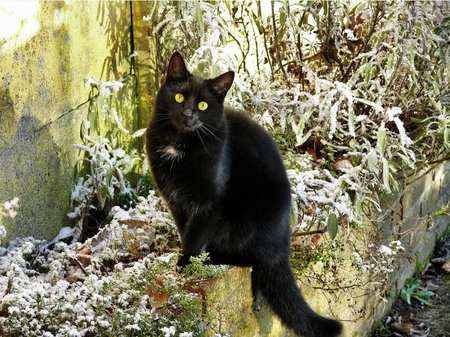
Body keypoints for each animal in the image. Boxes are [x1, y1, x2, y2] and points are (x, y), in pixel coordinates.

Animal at [146, 52, 342, 336]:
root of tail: (284, 245)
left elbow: (196, 235)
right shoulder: (176, 202)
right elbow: (185, 231)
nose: (187, 114)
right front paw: (185, 261)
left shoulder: (210, 202)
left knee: (253, 257)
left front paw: (186, 266)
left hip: (251, 216)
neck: (180, 144)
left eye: (203, 105)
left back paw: (214, 256)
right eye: (180, 97)